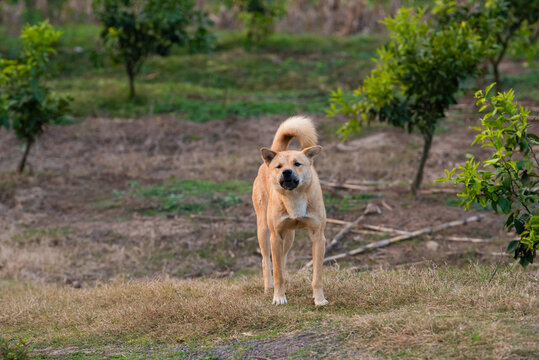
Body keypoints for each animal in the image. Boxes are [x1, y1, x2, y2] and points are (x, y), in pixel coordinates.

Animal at [253, 116, 330, 306]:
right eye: (279, 166)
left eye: (297, 164)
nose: (287, 172)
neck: (294, 197)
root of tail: (276, 151)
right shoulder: (275, 236)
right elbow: (277, 271)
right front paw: (279, 297)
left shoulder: (318, 236)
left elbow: (317, 275)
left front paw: (319, 299)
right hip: (264, 231)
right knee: (267, 261)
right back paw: (269, 288)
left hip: (289, 237)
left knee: (282, 259)